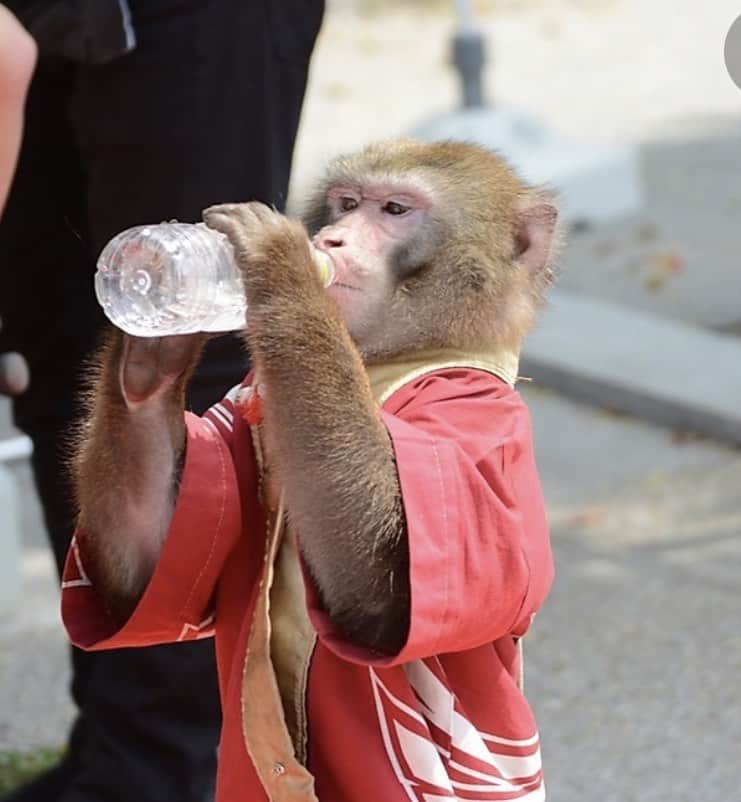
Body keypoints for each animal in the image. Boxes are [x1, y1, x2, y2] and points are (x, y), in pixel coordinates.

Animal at [65, 141, 556, 796]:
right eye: (347, 203)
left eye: (394, 209)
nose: (333, 239)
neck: (394, 360)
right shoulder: (245, 405)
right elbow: (149, 564)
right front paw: (153, 336)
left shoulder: (482, 429)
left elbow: (379, 585)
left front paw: (279, 258)